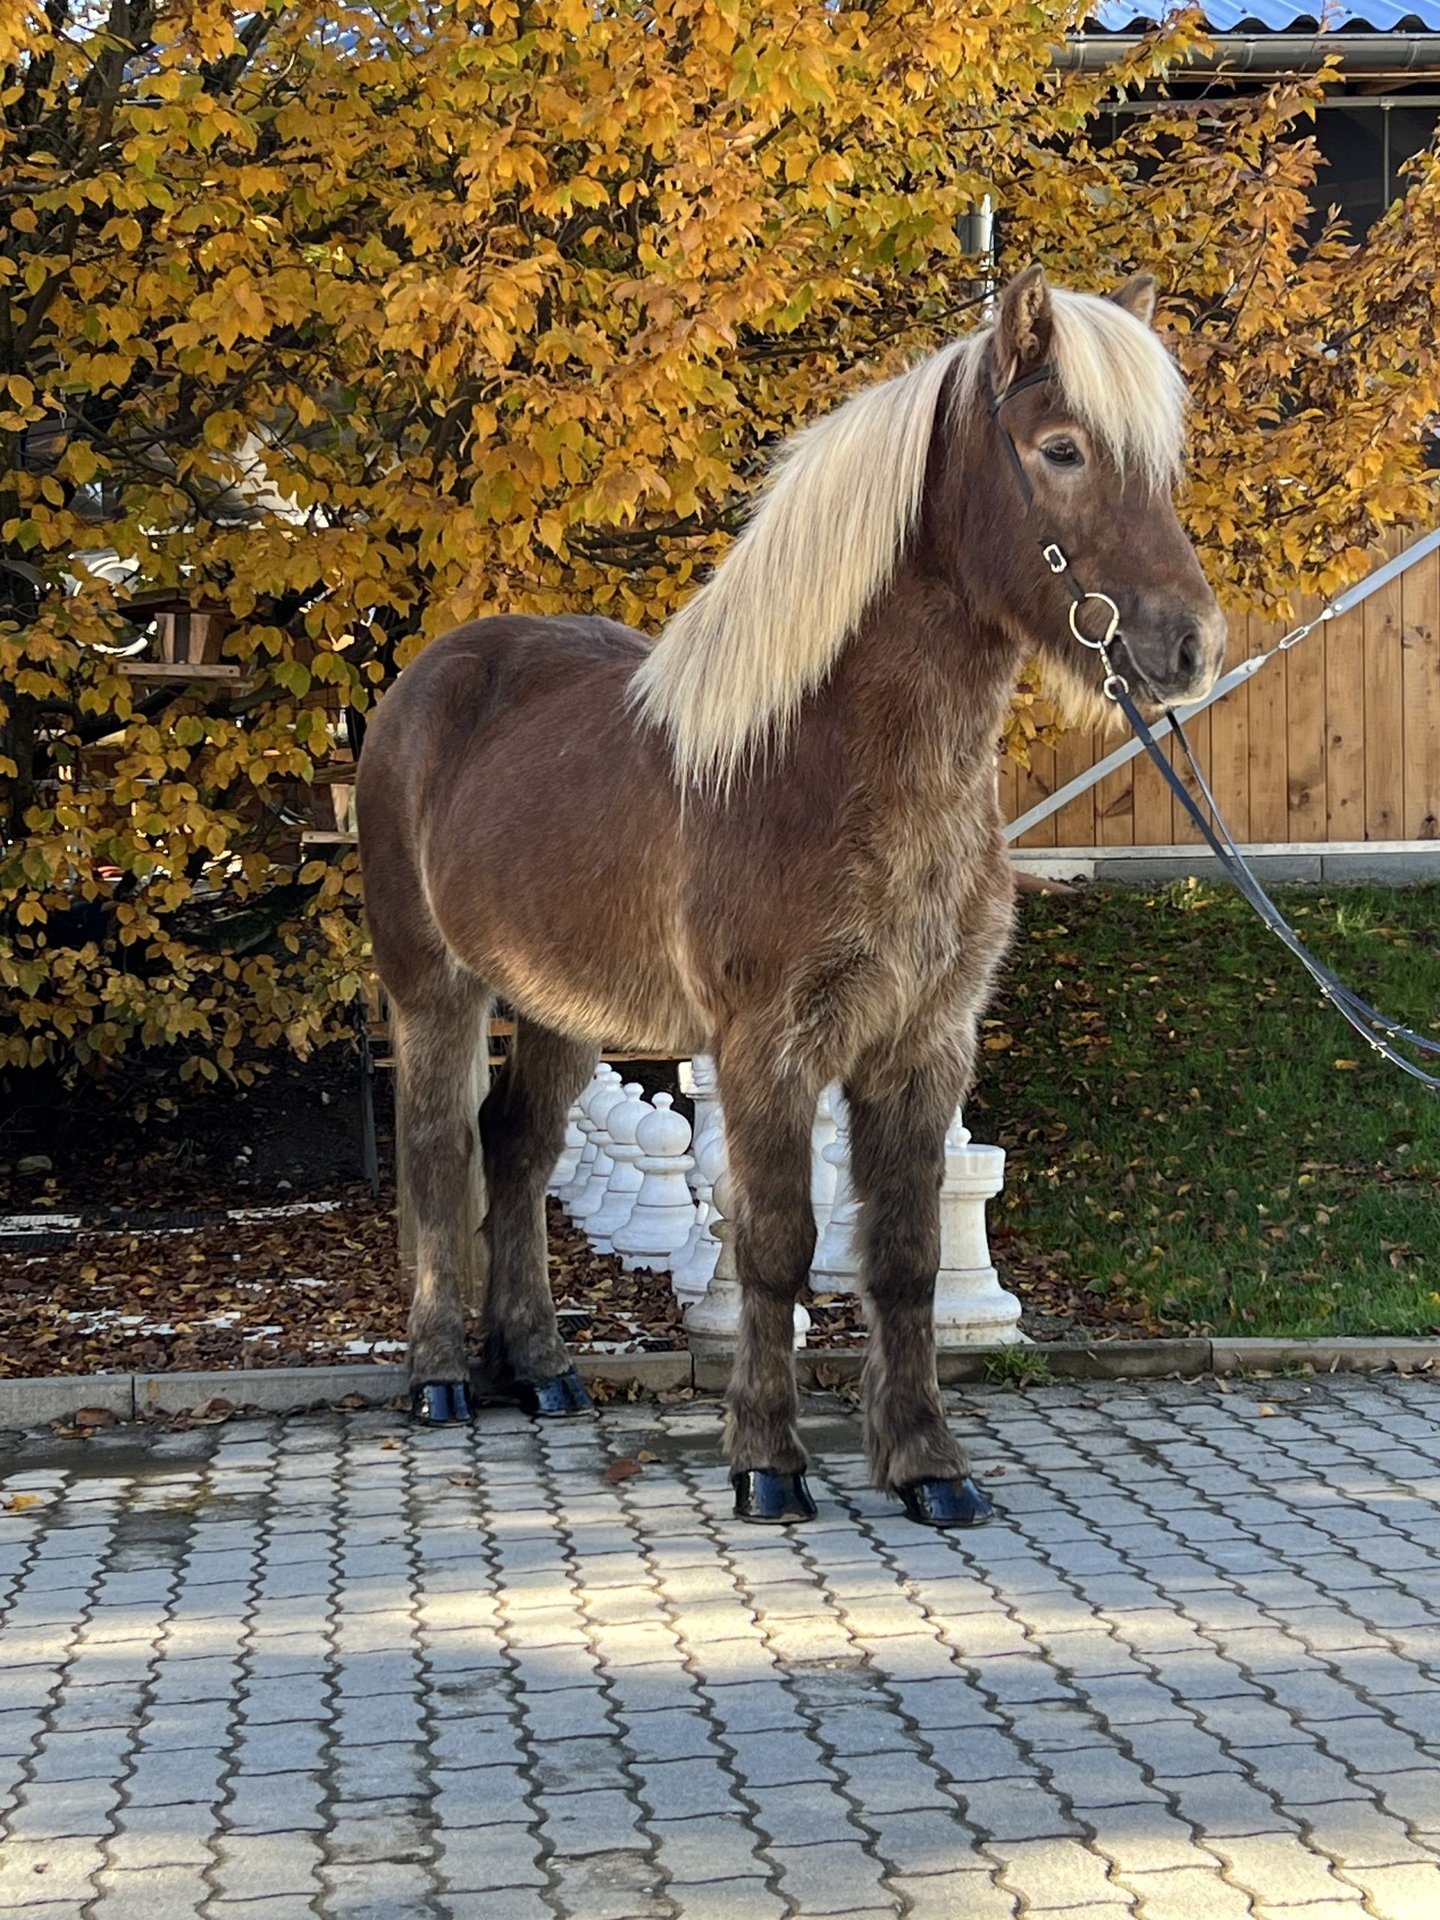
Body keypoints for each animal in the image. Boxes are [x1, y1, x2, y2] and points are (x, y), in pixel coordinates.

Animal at [355, 266, 1221, 1528]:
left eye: (1165, 462)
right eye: (1061, 448)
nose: (1189, 645)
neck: (826, 757)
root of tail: (430, 678)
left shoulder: (924, 1045)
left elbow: (904, 1256)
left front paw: (926, 1466)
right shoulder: (768, 1046)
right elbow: (776, 1244)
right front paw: (766, 1463)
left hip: (564, 1007)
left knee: (517, 1151)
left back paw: (544, 1369)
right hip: (436, 989)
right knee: (435, 1152)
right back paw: (440, 1381)